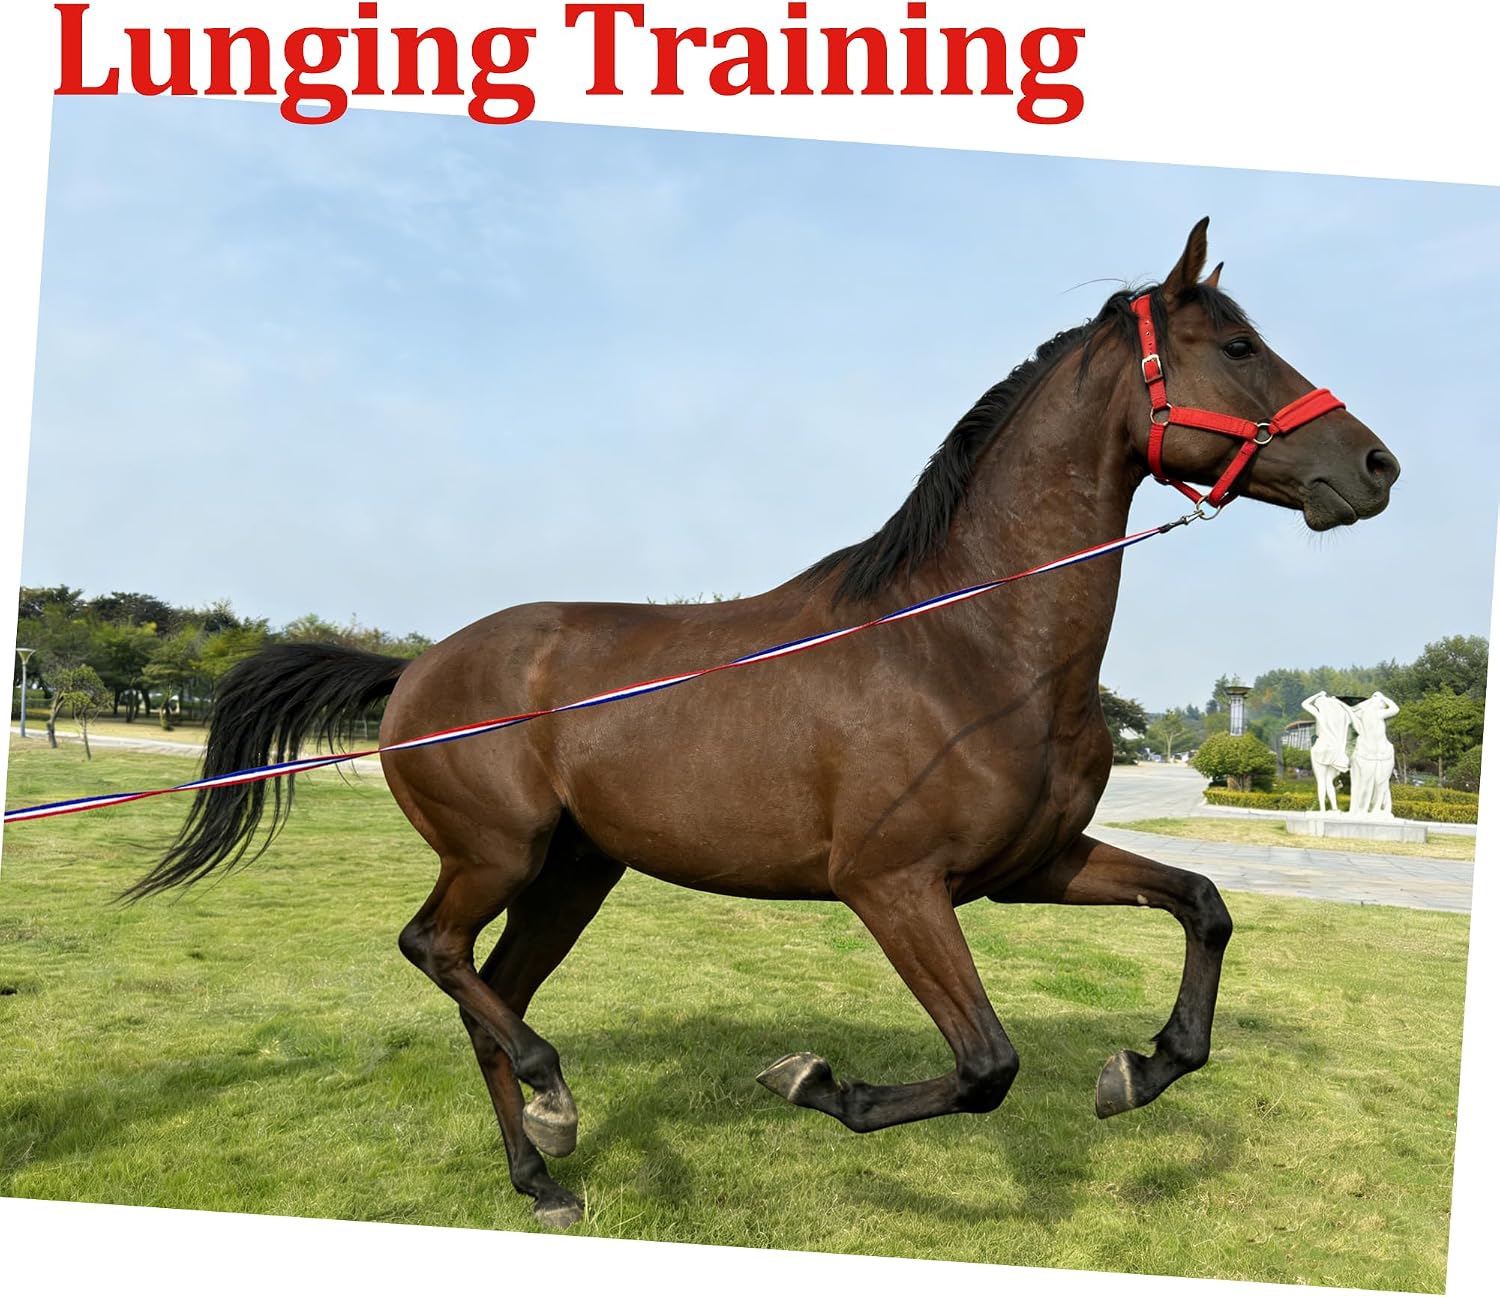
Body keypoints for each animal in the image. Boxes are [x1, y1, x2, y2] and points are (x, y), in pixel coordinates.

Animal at [126, 219, 1399, 1229]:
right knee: (437, 954)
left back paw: (541, 1174)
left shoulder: (1032, 867)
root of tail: (420, 668)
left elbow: (1205, 904)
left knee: (493, 994)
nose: (1376, 465)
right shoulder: (893, 885)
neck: (969, 645)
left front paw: (1139, 1068)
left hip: (573, 874)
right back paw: (554, 1097)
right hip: (497, 854)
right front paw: (812, 1079)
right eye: (1236, 348)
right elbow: (986, 1062)